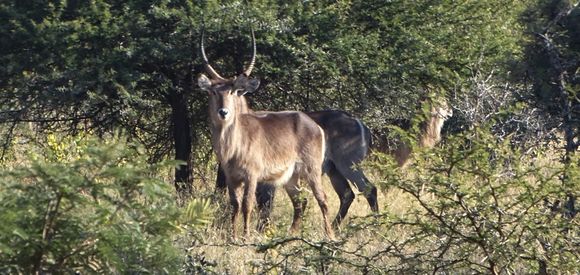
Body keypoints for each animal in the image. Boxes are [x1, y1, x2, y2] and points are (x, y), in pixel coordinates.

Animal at [199, 28, 336, 239]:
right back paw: (291, 234)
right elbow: (234, 205)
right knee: (300, 202)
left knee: (323, 199)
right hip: (291, 177)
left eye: (233, 91)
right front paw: (233, 235)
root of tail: (314, 125)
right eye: (213, 92)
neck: (233, 146)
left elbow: (247, 205)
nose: (223, 112)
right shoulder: (231, 177)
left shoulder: (252, 175)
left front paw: (245, 236)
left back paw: (330, 236)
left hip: (312, 170)